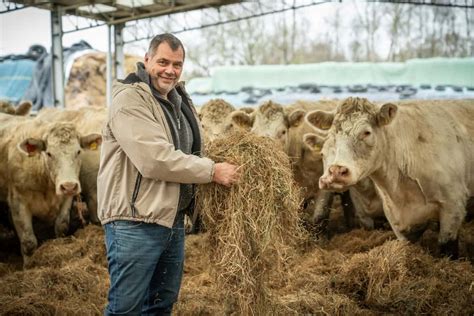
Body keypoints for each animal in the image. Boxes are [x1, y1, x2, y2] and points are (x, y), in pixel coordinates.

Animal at [0, 112, 101, 262]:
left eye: (78, 151)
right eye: (49, 153)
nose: (69, 186)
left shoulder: (66, 199)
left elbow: (61, 226)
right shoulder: (17, 202)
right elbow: (28, 242)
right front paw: (29, 265)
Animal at [306, 97, 472, 258]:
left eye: (367, 132)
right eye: (333, 133)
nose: (335, 172)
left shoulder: (453, 208)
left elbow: (448, 250)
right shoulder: (394, 218)